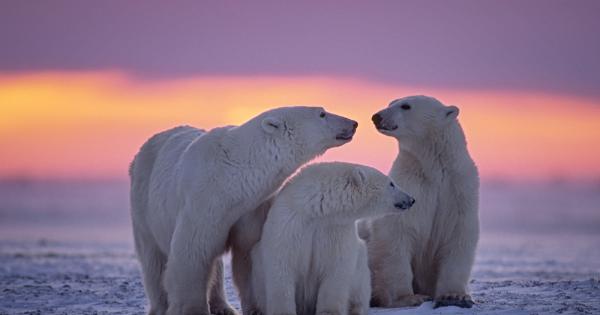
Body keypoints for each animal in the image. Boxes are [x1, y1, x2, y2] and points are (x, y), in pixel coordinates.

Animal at [130, 107, 356, 315]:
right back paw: (160, 306)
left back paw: (223, 307)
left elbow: (248, 254)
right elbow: (192, 253)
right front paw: (192, 309)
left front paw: (256, 309)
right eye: (322, 113)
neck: (233, 177)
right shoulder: (203, 201)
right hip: (143, 202)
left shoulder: (252, 208)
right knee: (153, 260)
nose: (353, 123)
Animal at [246, 163, 414, 315]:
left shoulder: (335, 229)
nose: (411, 199)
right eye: (391, 183)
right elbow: (282, 265)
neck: (316, 210)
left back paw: (356, 309)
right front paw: (283, 311)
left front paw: (329, 311)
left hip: (361, 266)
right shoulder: (290, 223)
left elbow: (336, 268)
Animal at [366, 95, 478, 308]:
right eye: (391, 102)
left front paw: (454, 295)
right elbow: (397, 233)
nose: (376, 116)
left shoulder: (458, 189)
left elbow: (458, 234)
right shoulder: (410, 185)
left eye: (405, 105)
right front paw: (408, 297)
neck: (433, 169)